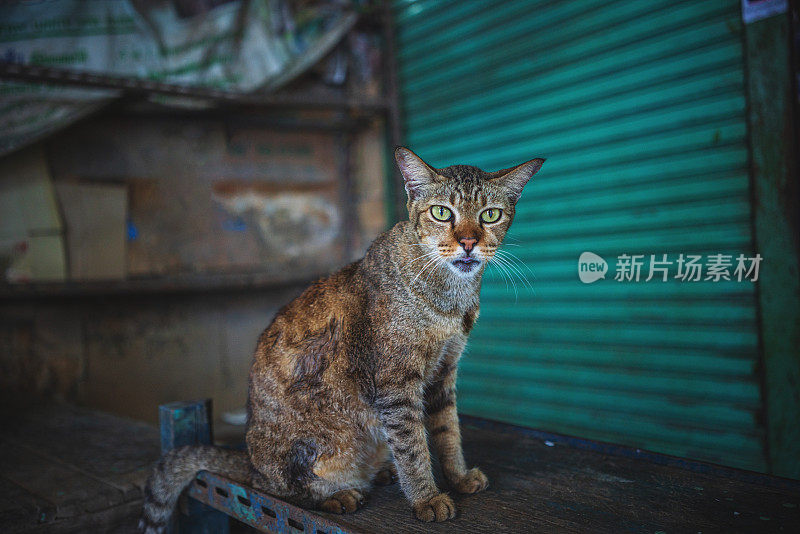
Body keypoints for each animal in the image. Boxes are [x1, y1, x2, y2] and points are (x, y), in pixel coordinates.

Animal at [142, 148, 544, 532]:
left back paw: (380, 471)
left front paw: (458, 478)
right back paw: (338, 495)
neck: (450, 298)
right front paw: (426, 498)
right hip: (299, 455)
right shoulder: (396, 385)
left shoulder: (444, 372)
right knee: (275, 489)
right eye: (442, 213)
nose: (468, 242)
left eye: (490, 215)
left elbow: (448, 432)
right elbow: (413, 446)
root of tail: (249, 460)